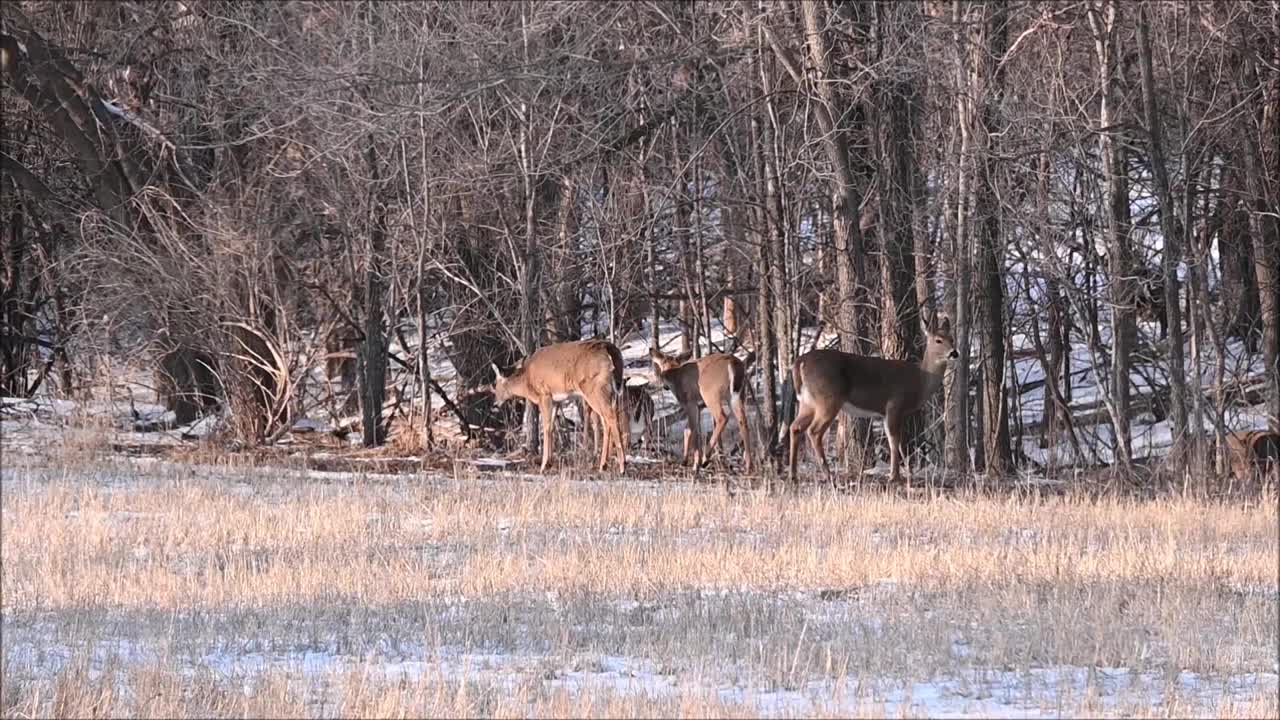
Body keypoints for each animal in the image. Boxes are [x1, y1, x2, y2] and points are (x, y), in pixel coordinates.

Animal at [491, 335, 627, 471]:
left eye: (495, 383)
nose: (495, 403)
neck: (527, 380)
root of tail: (608, 348)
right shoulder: (556, 400)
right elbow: (552, 427)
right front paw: (549, 462)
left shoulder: (544, 394)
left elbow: (546, 427)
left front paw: (543, 465)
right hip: (607, 390)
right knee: (607, 419)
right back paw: (603, 464)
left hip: (594, 388)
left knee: (610, 416)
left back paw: (622, 466)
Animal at [645, 345, 752, 474]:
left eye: (661, 364)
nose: (665, 386)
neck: (676, 376)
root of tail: (732, 363)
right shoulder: (699, 407)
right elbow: (688, 429)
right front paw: (685, 461)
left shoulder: (690, 403)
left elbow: (692, 429)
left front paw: (696, 464)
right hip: (737, 394)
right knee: (743, 421)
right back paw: (748, 465)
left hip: (710, 393)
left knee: (722, 417)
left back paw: (706, 459)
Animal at [788, 316, 962, 484]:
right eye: (938, 340)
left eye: (952, 338)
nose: (954, 353)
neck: (920, 381)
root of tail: (800, 363)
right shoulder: (894, 404)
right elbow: (894, 440)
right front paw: (894, 476)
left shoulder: (889, 412)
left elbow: (895, 441)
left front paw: (896, 474)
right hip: (828, 398)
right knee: (814, 431)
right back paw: (828, 475)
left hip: (807, 402)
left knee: (795, 427)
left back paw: (794, 474)